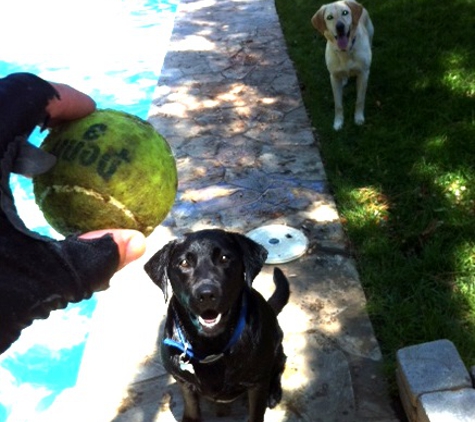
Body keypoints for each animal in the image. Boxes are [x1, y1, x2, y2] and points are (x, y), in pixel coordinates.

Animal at [145, 229, 290, 422]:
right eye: (184, 263)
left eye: (224, 258)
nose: (206, 294)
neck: (210, 347)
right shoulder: (183, 381)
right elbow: (191, 406)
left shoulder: (257, 383)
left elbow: (256, 413)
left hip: (276, 346)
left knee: (280, 363)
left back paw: (273, 392)